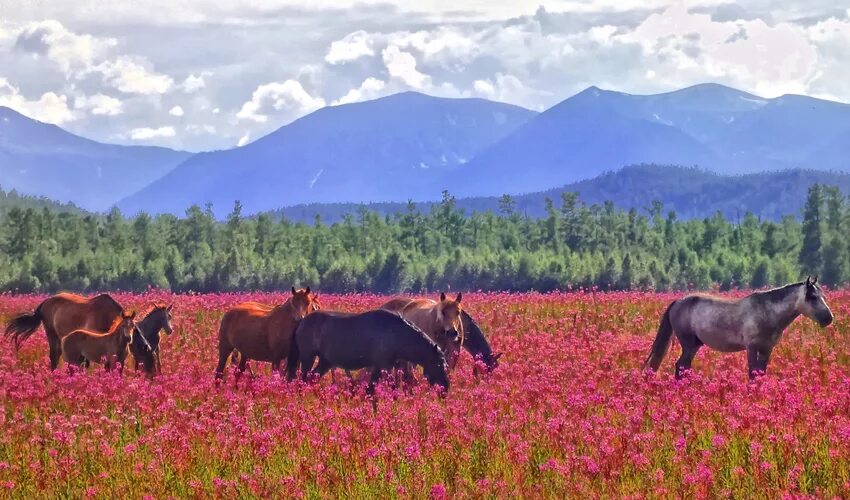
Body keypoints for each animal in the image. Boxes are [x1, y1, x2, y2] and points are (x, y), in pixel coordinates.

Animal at [288, 308, 450, 394]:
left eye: (445, 365)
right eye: (438, 364)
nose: (445, 389)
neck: (396, 334)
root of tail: (302, 321)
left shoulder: (384, 366)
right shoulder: (383, 365)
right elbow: (383, 387)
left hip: (325, 361)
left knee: (312, 378)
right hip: (308, 357)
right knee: (303, 378)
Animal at [644, 278, 832, 378]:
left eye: (822, 295)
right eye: (812, 297)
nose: (829, 318)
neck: (767, 312)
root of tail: (678, 302)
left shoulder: (767, 349)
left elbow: (761, 372)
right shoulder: (752, 347)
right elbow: (752, 372)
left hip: (695, 345)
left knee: (684, 366)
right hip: (688, 344)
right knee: (681, 366)